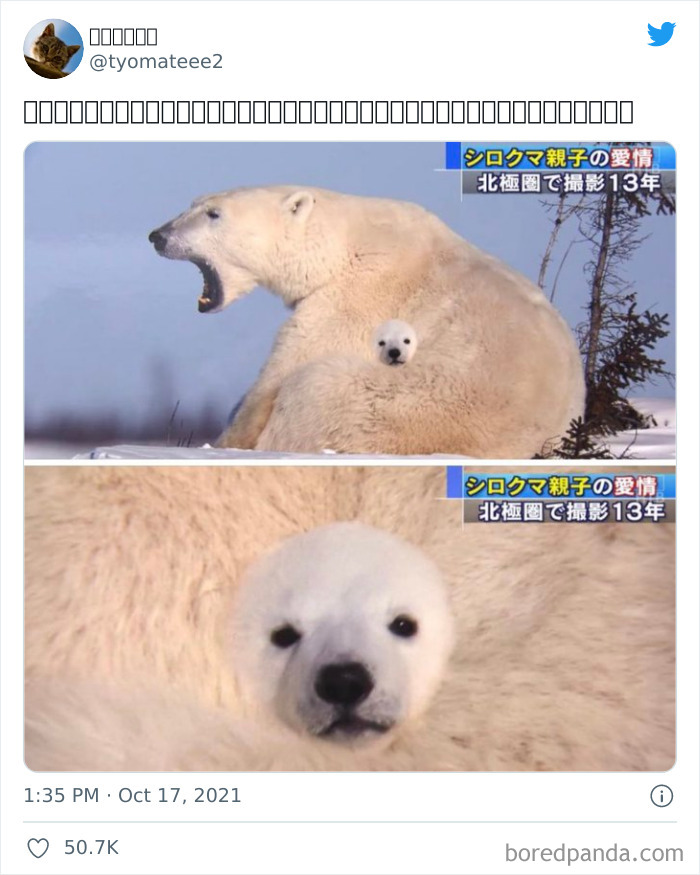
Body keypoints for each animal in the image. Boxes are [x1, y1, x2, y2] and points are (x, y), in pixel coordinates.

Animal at [149, 186, 585, 457]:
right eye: (193, 203)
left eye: (214, 214)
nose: (158, 235)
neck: (343, 244)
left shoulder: (357, 296)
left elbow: (284, 369)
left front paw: (225, 441)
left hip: (404, 408)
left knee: (314, 386)